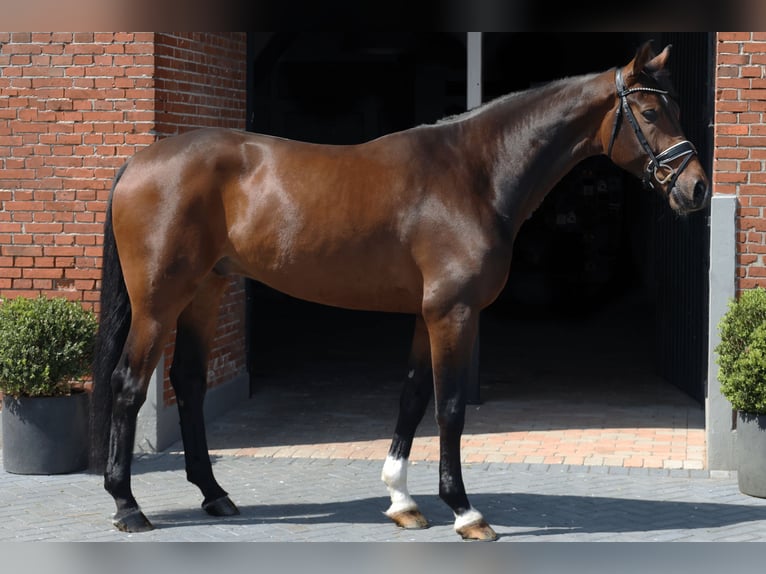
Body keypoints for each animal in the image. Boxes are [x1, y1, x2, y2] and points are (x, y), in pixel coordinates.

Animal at [91, 42, 712, 544]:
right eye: (650, 112)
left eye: (677, 109)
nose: (697, 188)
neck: (474, 175)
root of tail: (138, 161)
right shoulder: (453, 313)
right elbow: (451, 407)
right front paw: (465, 512)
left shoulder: (426, 313)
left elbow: (412, 397)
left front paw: (402, 501)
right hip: (158, 302)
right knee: (128, 384)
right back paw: (127, 505)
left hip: (204, 291)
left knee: (190, 383)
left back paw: (215, 495)